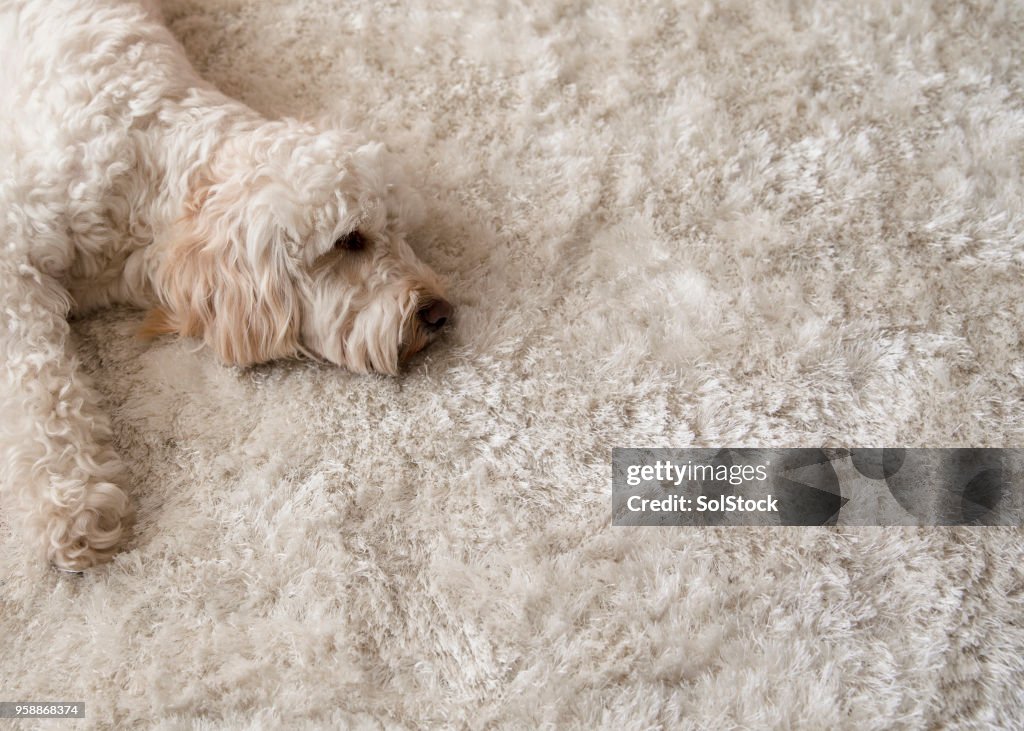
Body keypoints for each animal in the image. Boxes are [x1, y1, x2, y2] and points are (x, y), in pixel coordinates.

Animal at [0, 0, 452, 569]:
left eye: (404, 235)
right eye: (351, 240)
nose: (441, 312)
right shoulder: (13, 252)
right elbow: (42, 390)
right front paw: (73, 507)